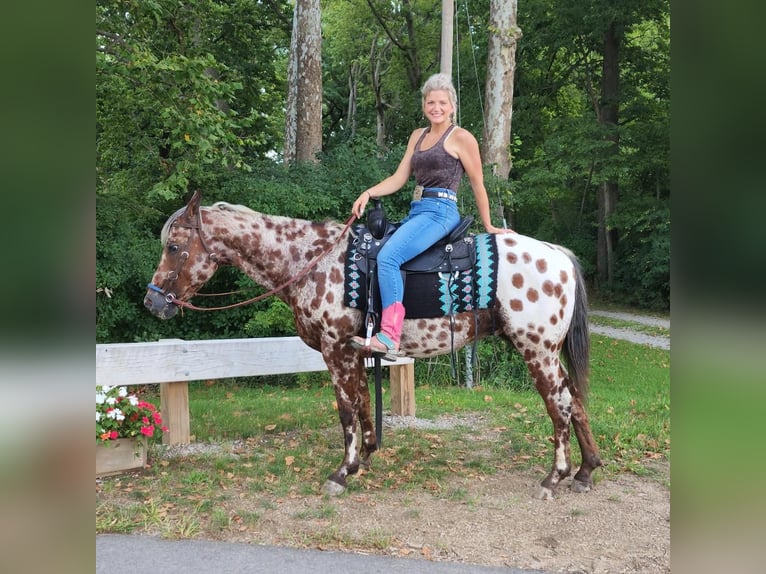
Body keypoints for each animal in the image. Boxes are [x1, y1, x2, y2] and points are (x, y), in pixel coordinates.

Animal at [142, 191, 600, 502]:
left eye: (173, 246)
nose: (152, 302)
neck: (310, 261)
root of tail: (558, 254)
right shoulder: (356, 352)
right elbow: (363, 402)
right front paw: (367, 454)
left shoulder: (336, 350)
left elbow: (346, 409)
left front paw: (343, 471)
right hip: (548, 352)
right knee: (576, 399)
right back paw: (586, 470)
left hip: (536, 350)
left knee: (559, 404)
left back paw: (555, 476)